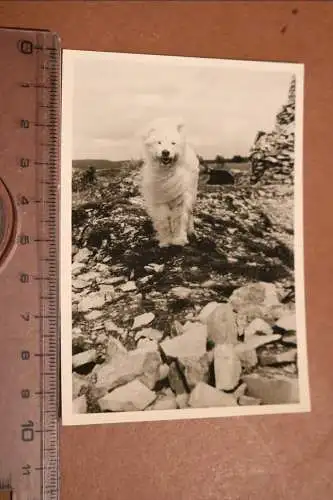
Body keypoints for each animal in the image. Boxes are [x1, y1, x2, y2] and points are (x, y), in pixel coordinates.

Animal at [139, 119, 198, 248]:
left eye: (173, 143)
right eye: (159, 142)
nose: (165, 152)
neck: (167, 173)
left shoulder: (181, 200)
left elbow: (178, 220)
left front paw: (179, 240)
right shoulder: (160, 201)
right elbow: (164, 221)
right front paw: (165, 241)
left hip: (193, 193)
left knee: (190, 213)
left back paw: (190, 230)